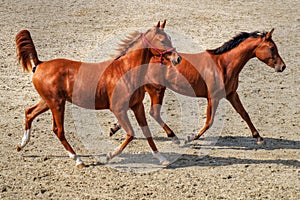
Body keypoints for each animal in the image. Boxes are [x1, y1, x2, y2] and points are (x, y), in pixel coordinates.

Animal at [15, 20, 180, 167]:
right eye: (162, 40)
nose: (177, 58)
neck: (126, 71)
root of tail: (40, 64)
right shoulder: (118, 109)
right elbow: (131, 134)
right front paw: (109, 156)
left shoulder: (137, 106)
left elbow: (147, 132)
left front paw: (162, 158)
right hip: (56, 103)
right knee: (58, 130)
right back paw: (78, 160)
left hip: (48, 101)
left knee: (29, 112)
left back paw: (21, 145)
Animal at [110, 28, 286, 145]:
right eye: (272, 48)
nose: (283, 67)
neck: (224, 64)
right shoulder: (213, 98)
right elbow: (209, 121)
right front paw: (192, 137)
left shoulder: (231, 94)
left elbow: (244, 114)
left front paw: (258, 137)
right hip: (157, 90)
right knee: (154, 113)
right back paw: (173, 136)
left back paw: (115, 127)